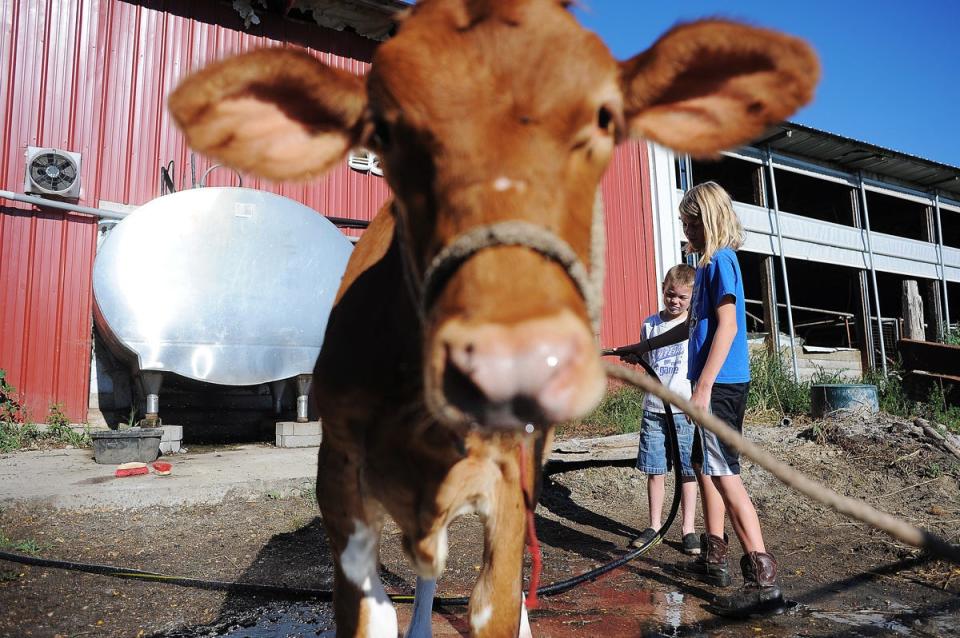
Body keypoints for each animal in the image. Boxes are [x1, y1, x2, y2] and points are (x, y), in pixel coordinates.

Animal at [167, 2, 816, 636]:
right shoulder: (339, 479)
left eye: (605, 118)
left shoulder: (504, 483)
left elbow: (496, 601)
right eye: (384, 130)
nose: (517, 361)